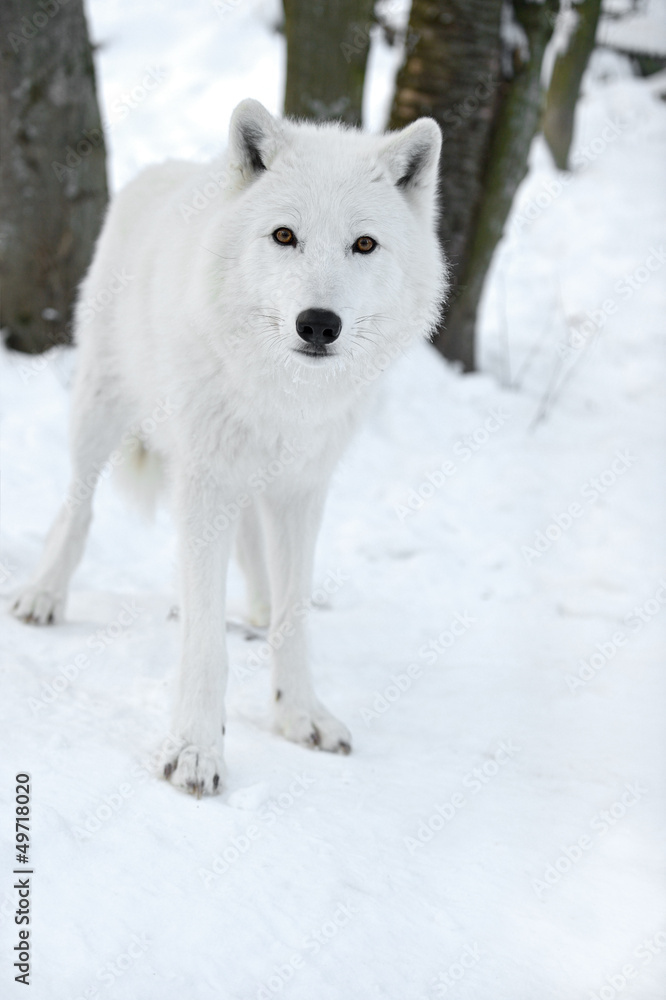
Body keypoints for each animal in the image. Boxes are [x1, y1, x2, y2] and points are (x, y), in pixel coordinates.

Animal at [12, 99, 446, 795]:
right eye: (284, 236)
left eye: (364, 244)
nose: (318, 324)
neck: (281, 395)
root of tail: (166, 168)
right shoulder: (205, 483)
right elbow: (203, 638)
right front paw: (194, 750)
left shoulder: (301, 490)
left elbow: (295, 619)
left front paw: (300, 715)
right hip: (100, 412)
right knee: (76, 506)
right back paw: (44, 595)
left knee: (255, 559)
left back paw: (259, 606)